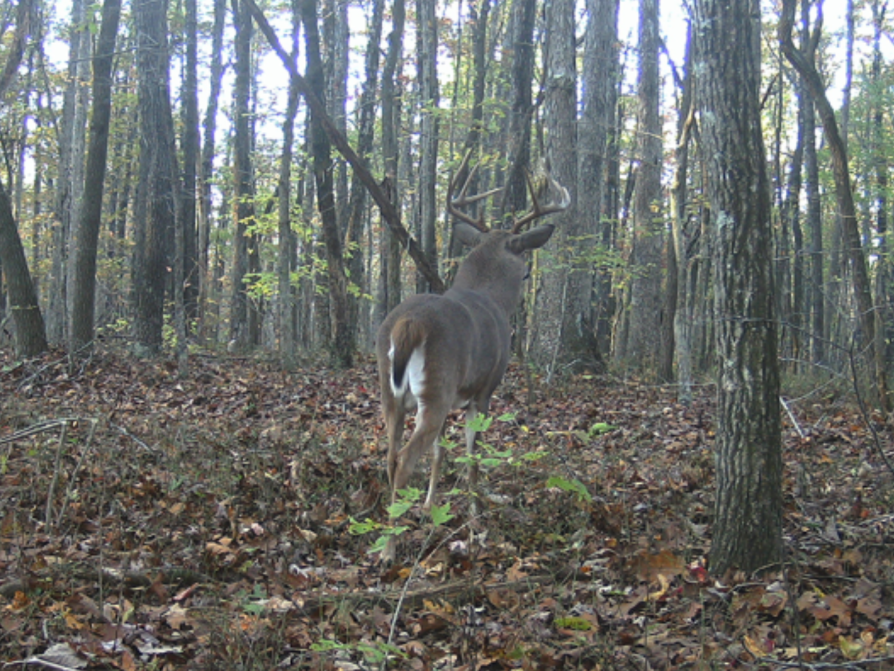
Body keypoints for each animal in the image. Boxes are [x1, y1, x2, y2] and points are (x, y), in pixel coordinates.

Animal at [374, 155, 572, 564]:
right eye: (524, 268)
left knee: (389, 456)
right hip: (436, 386)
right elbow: (472, 456)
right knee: (404, 460)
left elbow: (440, 453)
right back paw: (389, 548)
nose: (528, 276)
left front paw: (431, 507)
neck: (489, 295)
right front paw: (475, 513)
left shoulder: (453, 397)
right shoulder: (483, 391)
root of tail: (408, 324)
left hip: (393, 391)